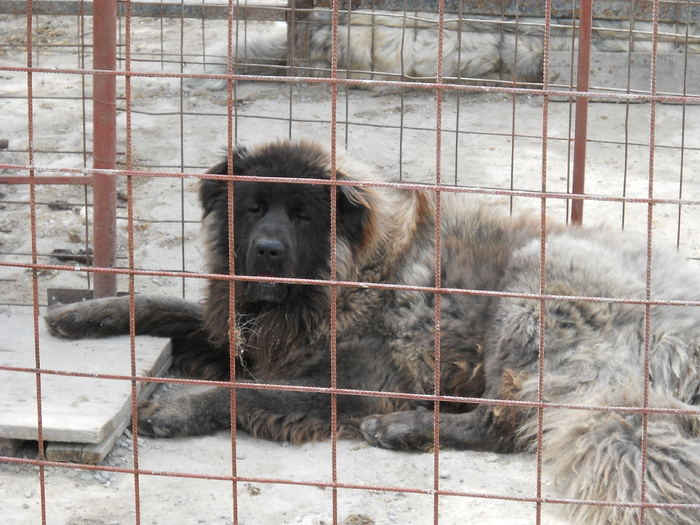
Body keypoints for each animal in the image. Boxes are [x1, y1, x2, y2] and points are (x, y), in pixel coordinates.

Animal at [46, 140, 700, 524]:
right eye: (253, 208)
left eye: (303, 216)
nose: (266, 251)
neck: (347, 278)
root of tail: (677, 326)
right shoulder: (253, 339)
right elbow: (164, 305)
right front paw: (85, 313)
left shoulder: (352, 383)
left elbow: (242, 392)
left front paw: (176, 408)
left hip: (531, 290)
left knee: (504, 423)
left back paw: (402, 427)